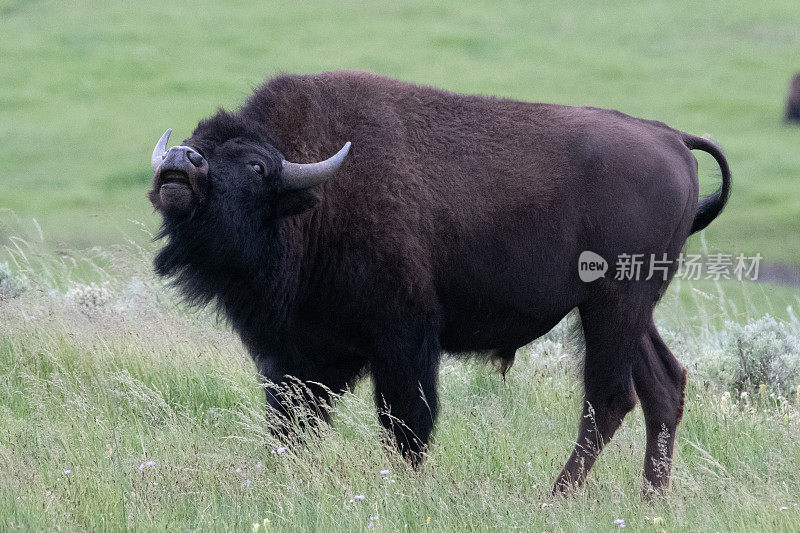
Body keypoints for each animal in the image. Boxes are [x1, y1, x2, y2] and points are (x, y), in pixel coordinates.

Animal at [148, 70, 732, 494]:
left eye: (255, 166)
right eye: (199, 141)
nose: (180, 160)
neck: (315, 193)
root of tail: (670, 137)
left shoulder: (403, 339)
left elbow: (406, 422)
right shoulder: (297, 354)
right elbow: (291, 421)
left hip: (612, 305)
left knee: (609, 398)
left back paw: (557, 495)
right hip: (629, 311)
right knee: (663, 385)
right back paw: (651, 499)